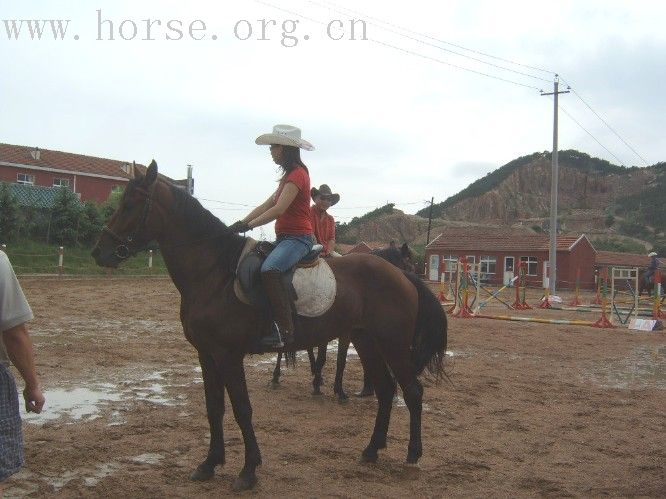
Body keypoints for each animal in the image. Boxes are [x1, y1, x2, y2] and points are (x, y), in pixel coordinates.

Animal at [270, 245, 416, 402]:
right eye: (409, 266)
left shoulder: (344, 332)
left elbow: (340, 360)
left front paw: (330, 387)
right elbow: (327, 358)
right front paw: (323, 387)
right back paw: (277, 376)